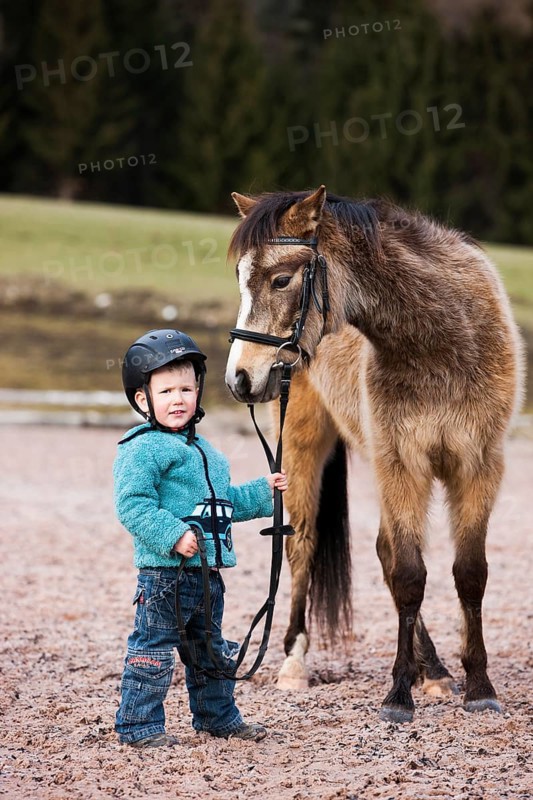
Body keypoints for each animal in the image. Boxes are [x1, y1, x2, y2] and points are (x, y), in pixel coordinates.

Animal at [224, 186, 524, 723]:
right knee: (303, 545)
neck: (440, 342)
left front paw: (478, 686)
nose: (239, 378)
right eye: (240, 278)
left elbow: (469, 574)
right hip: (303, 447)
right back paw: (295, 663)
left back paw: (435, 670)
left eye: (281, 279)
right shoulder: (402, 465)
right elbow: (408, 573)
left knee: (385, 551)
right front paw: (398, 694)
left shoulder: (478, 467)